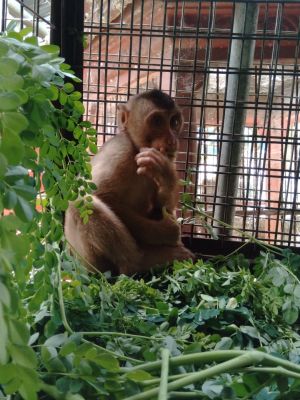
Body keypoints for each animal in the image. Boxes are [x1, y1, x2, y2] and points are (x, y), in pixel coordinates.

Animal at [64, 88, 193, 276]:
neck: (135, 150)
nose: (172, 140)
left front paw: (166, 175)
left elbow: (161, 208)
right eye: (157, 121)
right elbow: (99, 195)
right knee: (81, 202)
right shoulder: (120, 151)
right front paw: (166, 232)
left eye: (174, 122)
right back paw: (140, 263)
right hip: (87, 262)